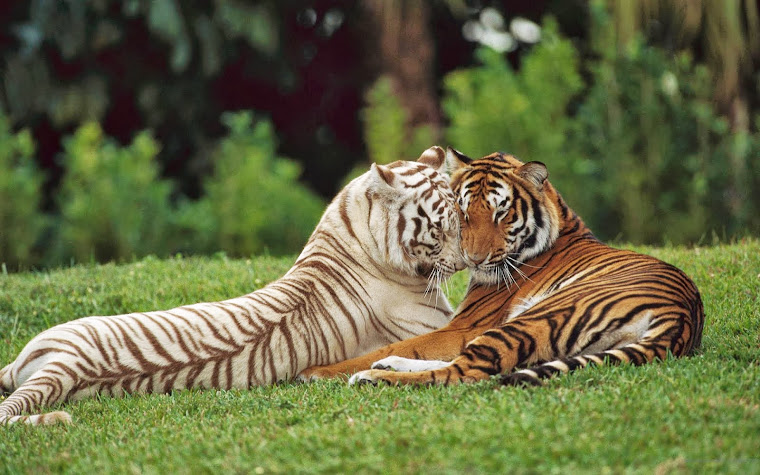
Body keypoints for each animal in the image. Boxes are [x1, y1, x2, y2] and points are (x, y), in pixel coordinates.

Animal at [0, 147, 464, 426]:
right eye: (441, 228)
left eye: (463, 217)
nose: (466, 261)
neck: (354, 226)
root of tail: (65, 365)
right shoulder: (437, 326)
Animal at [298, 149, 708, 386]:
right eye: (463, 211)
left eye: (501, 213)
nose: (473, 259)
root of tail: (681, 318)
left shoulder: (466, 326)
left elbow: (404, 344)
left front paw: (318, 371)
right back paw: (386, 368)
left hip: (535, 318)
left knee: (464, 372)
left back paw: (370, 377)